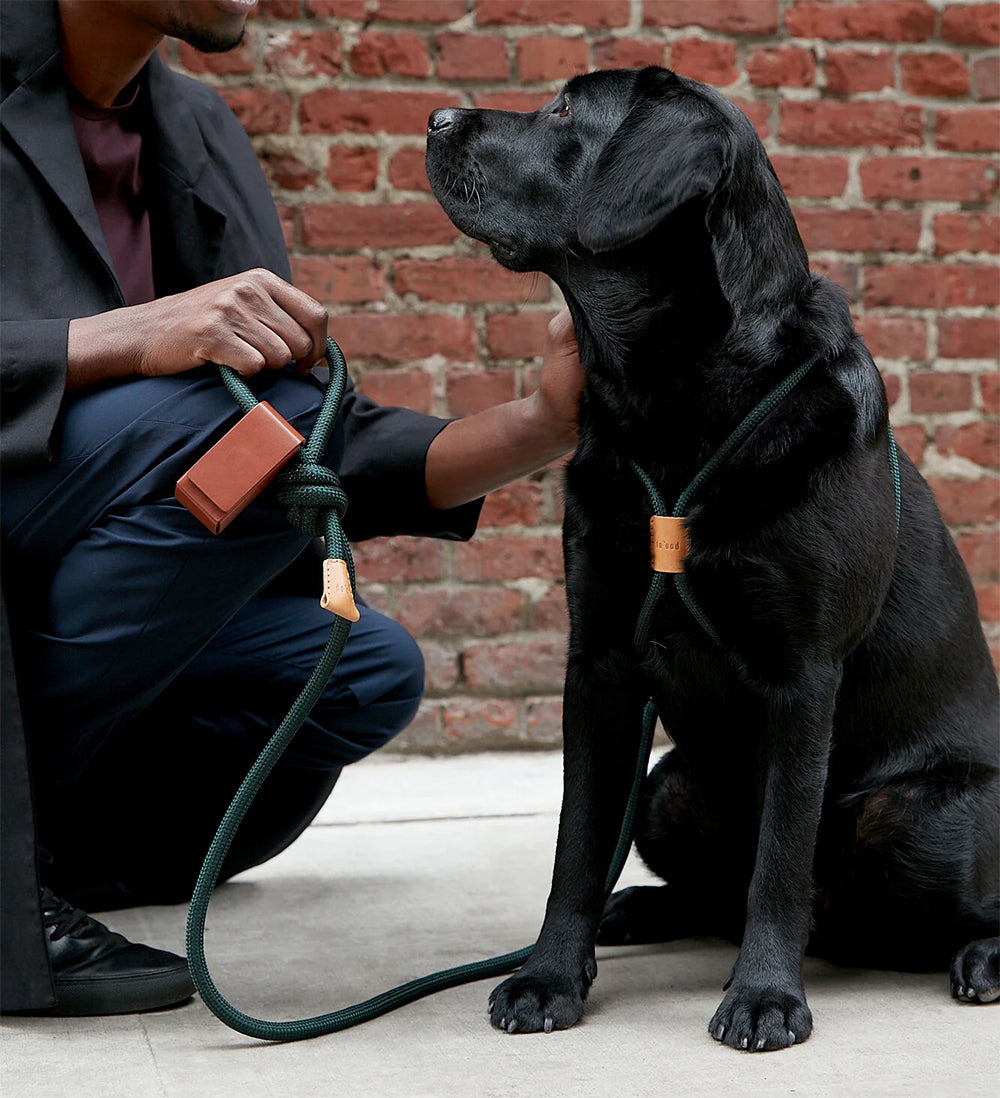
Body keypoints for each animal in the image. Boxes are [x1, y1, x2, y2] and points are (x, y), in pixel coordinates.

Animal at [423, 66, 1000, 1045]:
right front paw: (549, 976)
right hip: (670, 788)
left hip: (921, 816)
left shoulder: (803, 674)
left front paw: (765, 995)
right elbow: (577, 843)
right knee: (708, 884)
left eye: (566, 110)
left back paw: (981, 956)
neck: (668, 404)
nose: (434, 118)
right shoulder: (601, 661)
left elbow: (781, 856)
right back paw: (643, 909)